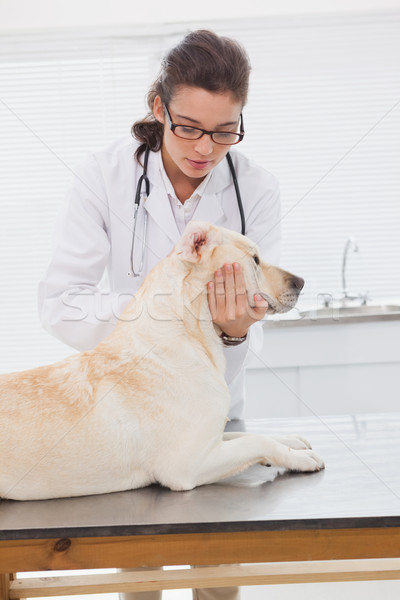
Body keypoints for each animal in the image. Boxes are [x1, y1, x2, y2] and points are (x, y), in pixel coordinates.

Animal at [0, 223, 324, 500]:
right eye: (255, 259)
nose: (301, 282)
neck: (189, 335)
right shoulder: (188, 464)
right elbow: (256, 442)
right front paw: (300, 458)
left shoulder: (212, 439)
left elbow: (249, 433)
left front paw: (292, 440)